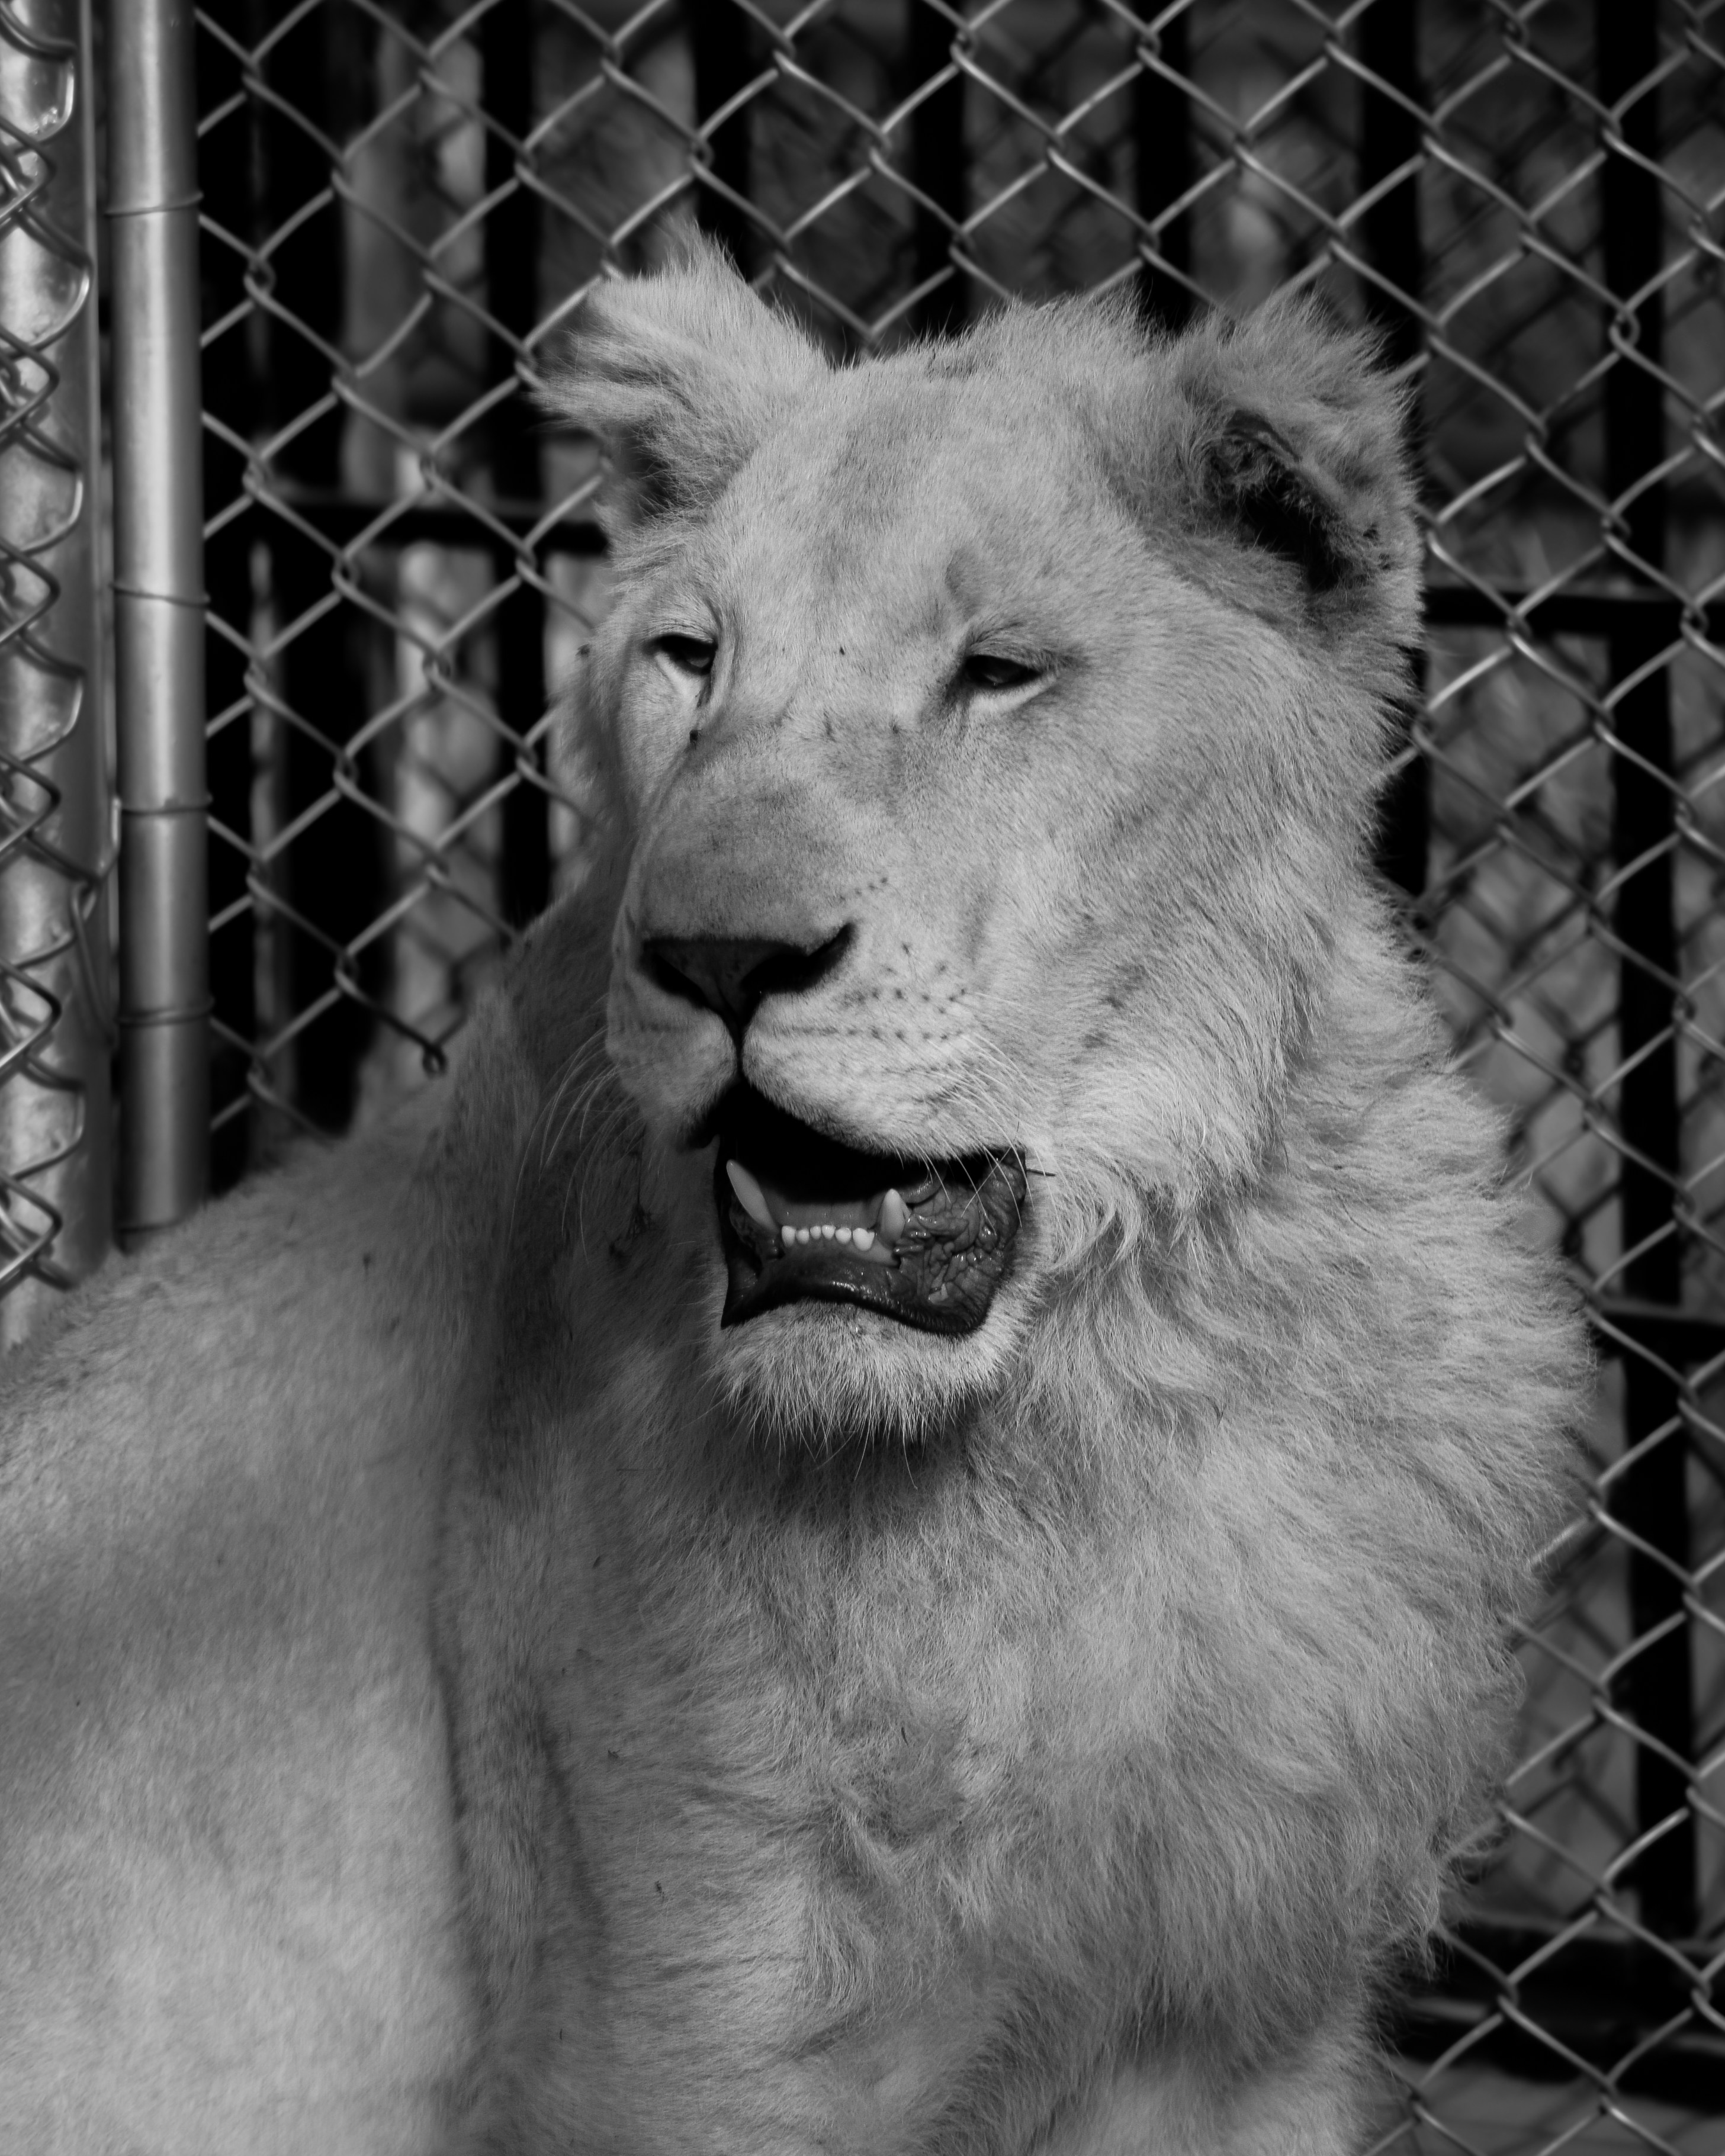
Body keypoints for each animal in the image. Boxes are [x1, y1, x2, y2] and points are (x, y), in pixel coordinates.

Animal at [0, 245, 1582, 2155]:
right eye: (691, 657)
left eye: (1000, 673)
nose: (716, 956)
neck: (1095, 1413)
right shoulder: (678, 2034)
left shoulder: (1243, 2025)